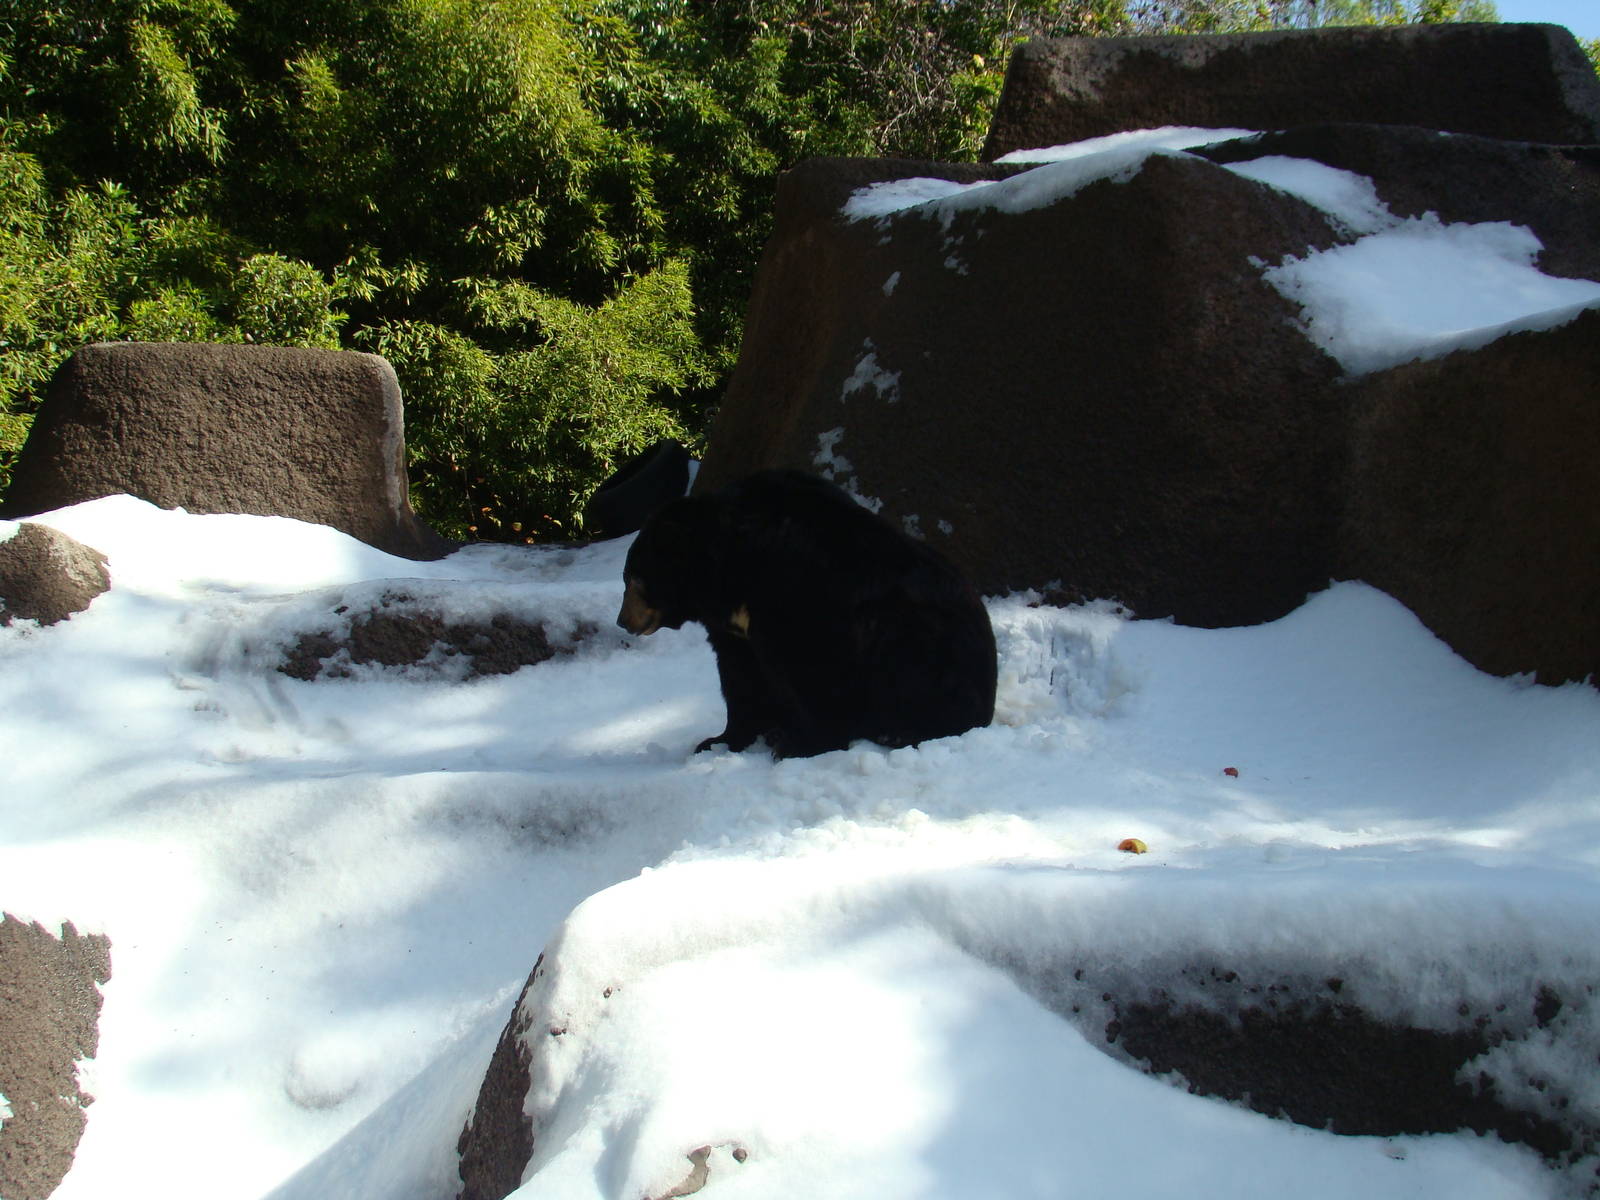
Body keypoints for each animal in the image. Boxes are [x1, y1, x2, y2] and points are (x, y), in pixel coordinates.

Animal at [616, 469, 997, 759]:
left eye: (633, 577)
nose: (623, 620)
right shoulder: (736, 627)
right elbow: (740, 674)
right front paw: (719, 741)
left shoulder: (803, 593)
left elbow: (813, 667)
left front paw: (801, 745)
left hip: (921, 646)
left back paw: (901, 731)